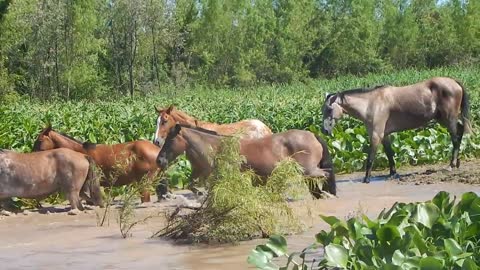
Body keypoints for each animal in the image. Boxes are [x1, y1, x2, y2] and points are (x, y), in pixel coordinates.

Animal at [156, 123, 336, 197]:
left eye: (170, 139)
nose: (159, 160)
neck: (215, 148)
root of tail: (313, 135)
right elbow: (192, 185)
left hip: (309, 170)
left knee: (326, 174)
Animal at [322, 77, 472, 185]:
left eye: (329, 109)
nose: (324, 130)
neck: (371, 104)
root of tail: (454, 82)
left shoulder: (376, 135)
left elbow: (370, 157)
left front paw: (366, 179)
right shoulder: (384, 136)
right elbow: (389, 154)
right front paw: (393, 173)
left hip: (448, 119)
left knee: (455, 138)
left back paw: (451, 165)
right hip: (444, 119)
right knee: (460, 132)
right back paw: (457, 163)